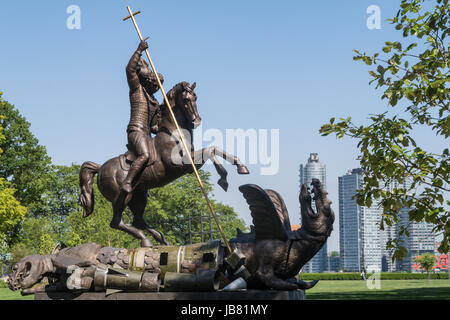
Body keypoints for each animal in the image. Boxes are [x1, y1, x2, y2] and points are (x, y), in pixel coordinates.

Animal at [78, 82, 248, 248]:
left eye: (195, 97)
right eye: (186, 100)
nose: (197, 121)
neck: (173, 133)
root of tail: (100, 168)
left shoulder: (191, 163)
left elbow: (214, 148)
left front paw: (241, 167)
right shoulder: (181, 164)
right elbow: (210, 150)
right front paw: (223, 177)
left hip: (139, 196)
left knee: (138, 220)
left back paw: (160, 240)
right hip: (122, 197)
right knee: (116, 222)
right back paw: (146, 240)